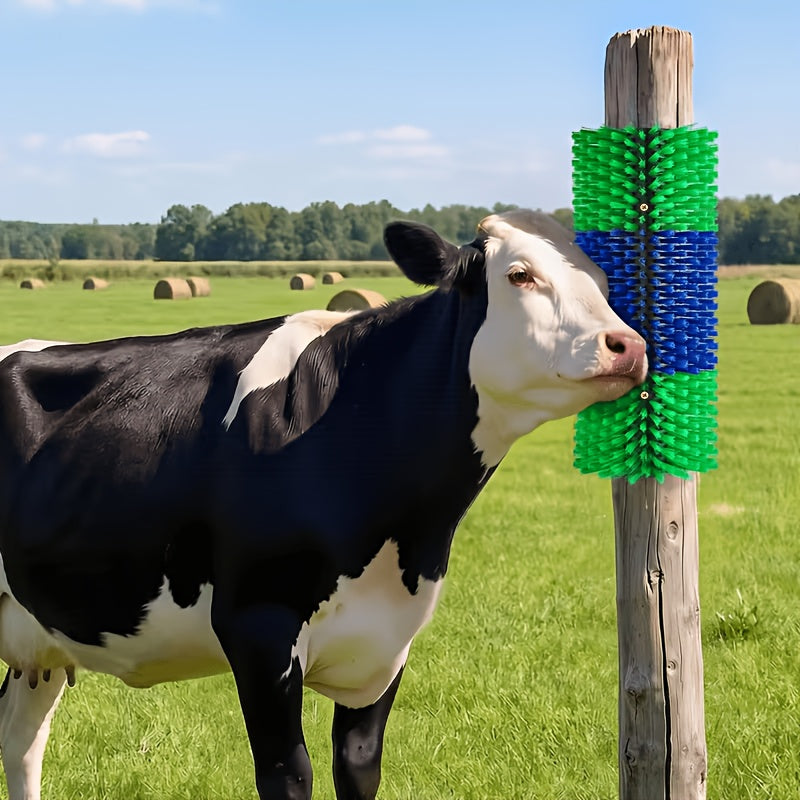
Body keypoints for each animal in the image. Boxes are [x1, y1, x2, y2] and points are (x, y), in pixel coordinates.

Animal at [0, 209, 647, 800]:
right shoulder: (258, 628)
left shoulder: (386, 642)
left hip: (36, 637)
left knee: (21, 738)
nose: (629, 345)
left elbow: (359, 768)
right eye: (519, 274)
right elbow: (289, 777)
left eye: (602, 280)